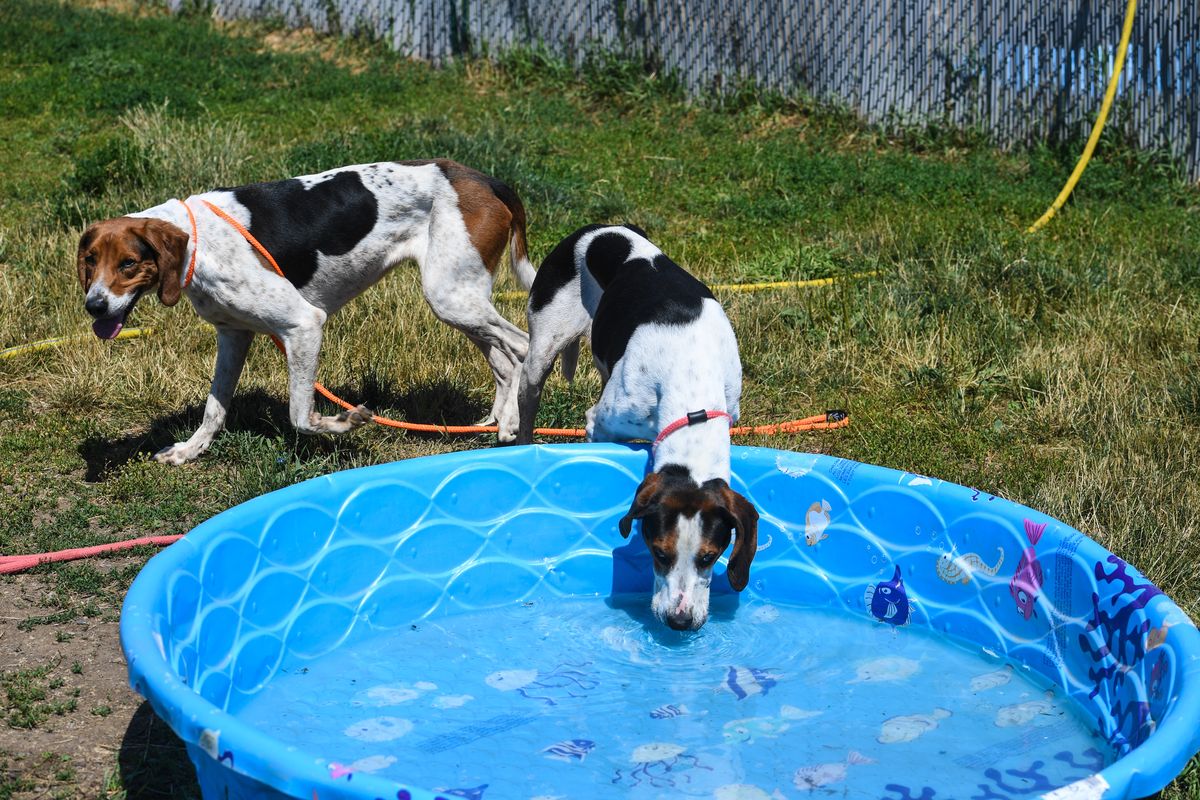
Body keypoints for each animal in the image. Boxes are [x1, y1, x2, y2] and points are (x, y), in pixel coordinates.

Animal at [76, 159, 535, 465]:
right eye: (90, 261)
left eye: (128, 264)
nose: (93, 306)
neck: (198, 240)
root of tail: (485, 179)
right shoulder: (233, 335)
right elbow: (214, 408)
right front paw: (191, 450)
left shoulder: (303, 325)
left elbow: (299, 415)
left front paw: (345, 423)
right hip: (462, 302)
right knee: (503, 362)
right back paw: (494, 422)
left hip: (452, 299)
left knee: (523, 348)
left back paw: (513, 424)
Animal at [499, 225, 758, 633]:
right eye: (659, 553)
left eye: (709, 557)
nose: (679, 621)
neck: (692, 382)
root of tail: (593, 229)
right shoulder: (601, 424)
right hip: (543, 344)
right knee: (529, 394)